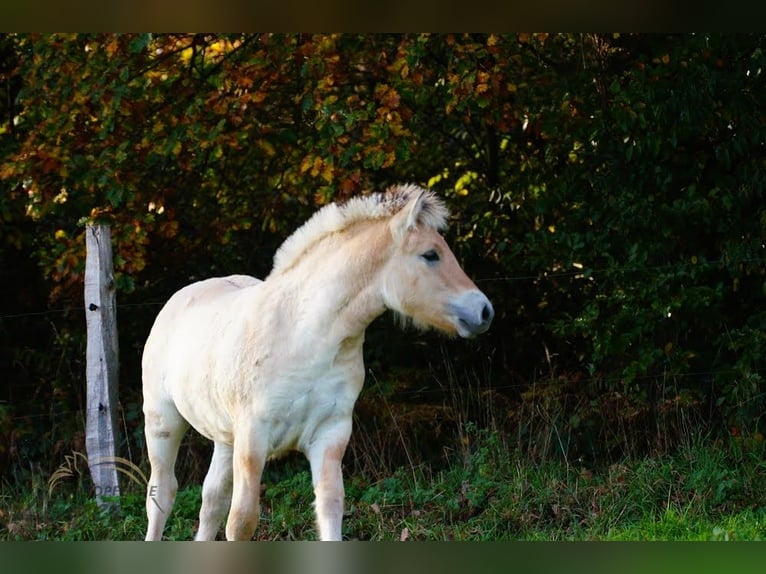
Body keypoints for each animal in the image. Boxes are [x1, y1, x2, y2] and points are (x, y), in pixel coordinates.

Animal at [141, 184, 494, 541]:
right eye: (430, 255)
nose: (483, 311)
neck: (305, 336)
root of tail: (180, 297)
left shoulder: (330, 434)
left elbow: (330, 506)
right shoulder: (253, 438)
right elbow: (242, 521)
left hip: (225, 437)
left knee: (211, 498)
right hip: (163, 422)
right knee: (162, 494)